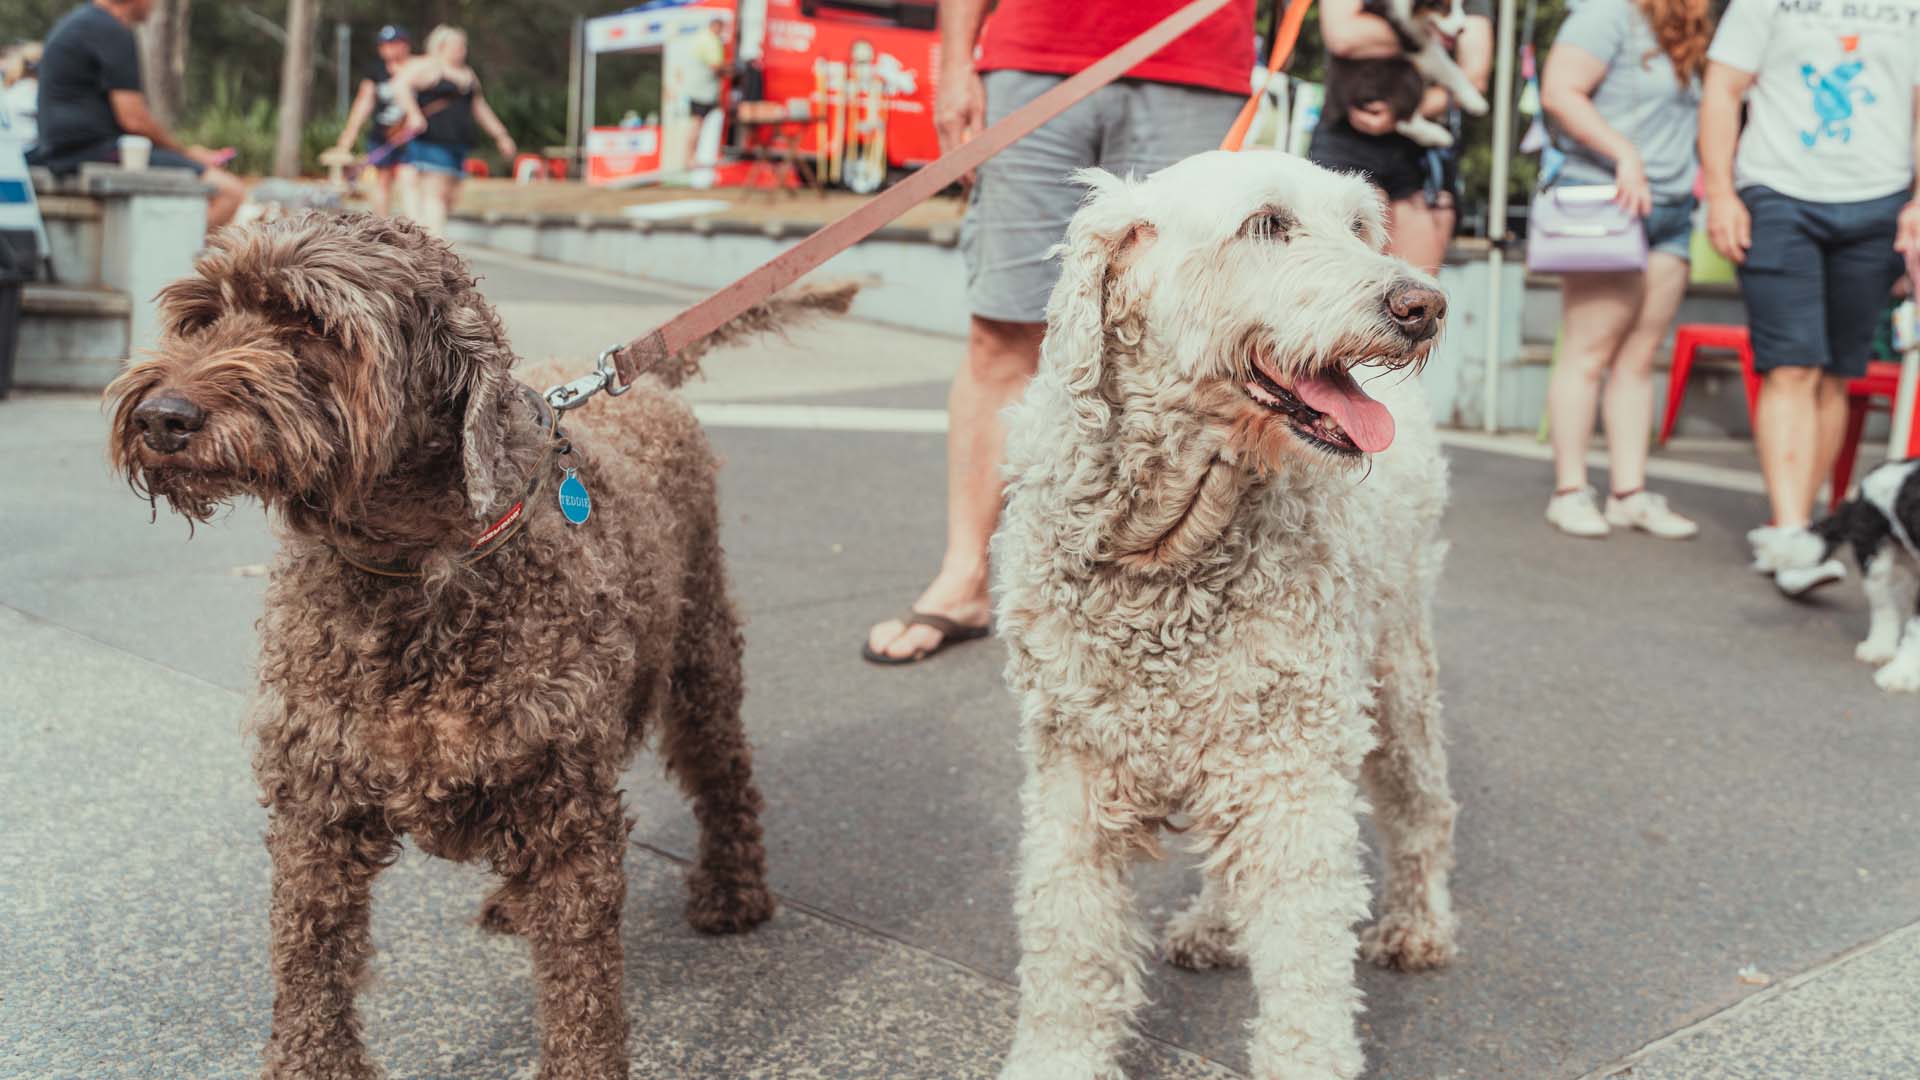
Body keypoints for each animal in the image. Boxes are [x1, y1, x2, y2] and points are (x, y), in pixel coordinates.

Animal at [107, 212, 856, 1076]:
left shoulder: (568, 811)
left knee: (723, 769)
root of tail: (645, 384)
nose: (162, 417)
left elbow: (581, 986)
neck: (414, 569)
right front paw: (311, 1060)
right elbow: (309, 961)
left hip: (700, 648)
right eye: (200, 318)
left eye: (312, 324)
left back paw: (734, 890)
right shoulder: (314, 805)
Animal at [990, 153, 1451, 1076]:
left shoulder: (1292, 772)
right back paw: (1215, 925)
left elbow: (1307, 969)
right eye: (1267, 225)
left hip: (1397, 672)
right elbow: (1068, 941)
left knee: (1423, 805)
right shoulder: (1072, 769)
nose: (1423, 305)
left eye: (1358, 225)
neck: (1168, 546)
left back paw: (1419, 925)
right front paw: (1060, 1054)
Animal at [1328, 0, 1489, 147]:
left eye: (1461, 4)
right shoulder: (1414, 41)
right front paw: (1475, 101)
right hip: (1404, 72)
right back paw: (1440, 136)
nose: (1463, 29)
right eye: (1441, 6)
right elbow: (1450, 68)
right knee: (1404, 123)